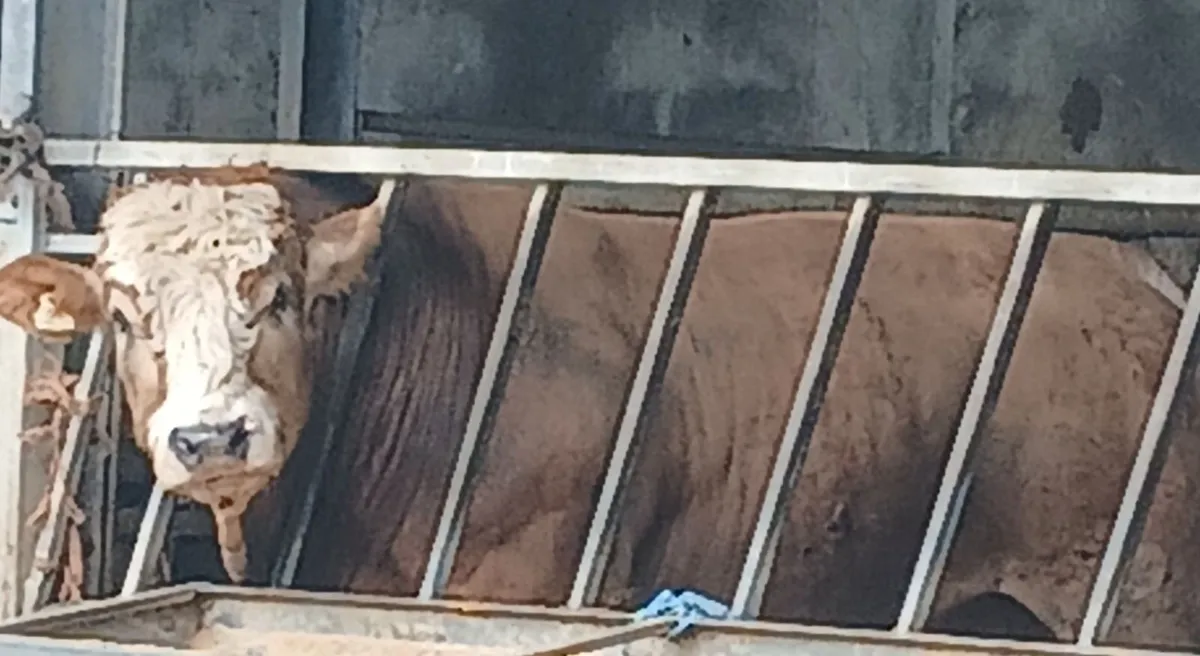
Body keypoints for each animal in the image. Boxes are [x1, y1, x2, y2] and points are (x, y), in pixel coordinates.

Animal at [2, 168, 1199, 648]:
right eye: (123, 311)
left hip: (1138, 588)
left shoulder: (522, 581)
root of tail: (1126, 271)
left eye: (283, 293)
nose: (210, 434)